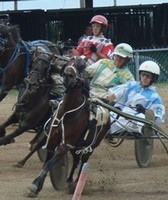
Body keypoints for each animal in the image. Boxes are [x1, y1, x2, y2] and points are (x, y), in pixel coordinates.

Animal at [28, 55, 111, 197]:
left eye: (81, 66)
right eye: (68, 63)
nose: (68, 75)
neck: (67, 113)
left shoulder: (65, 145)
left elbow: (49, 163)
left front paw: (34, 185)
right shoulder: (53, 140)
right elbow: (47, 162)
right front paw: (38, 187)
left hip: (92, 145)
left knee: (84, 160)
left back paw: (77, 183)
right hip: (76, 145)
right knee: (76, 159)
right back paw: (70, 180)